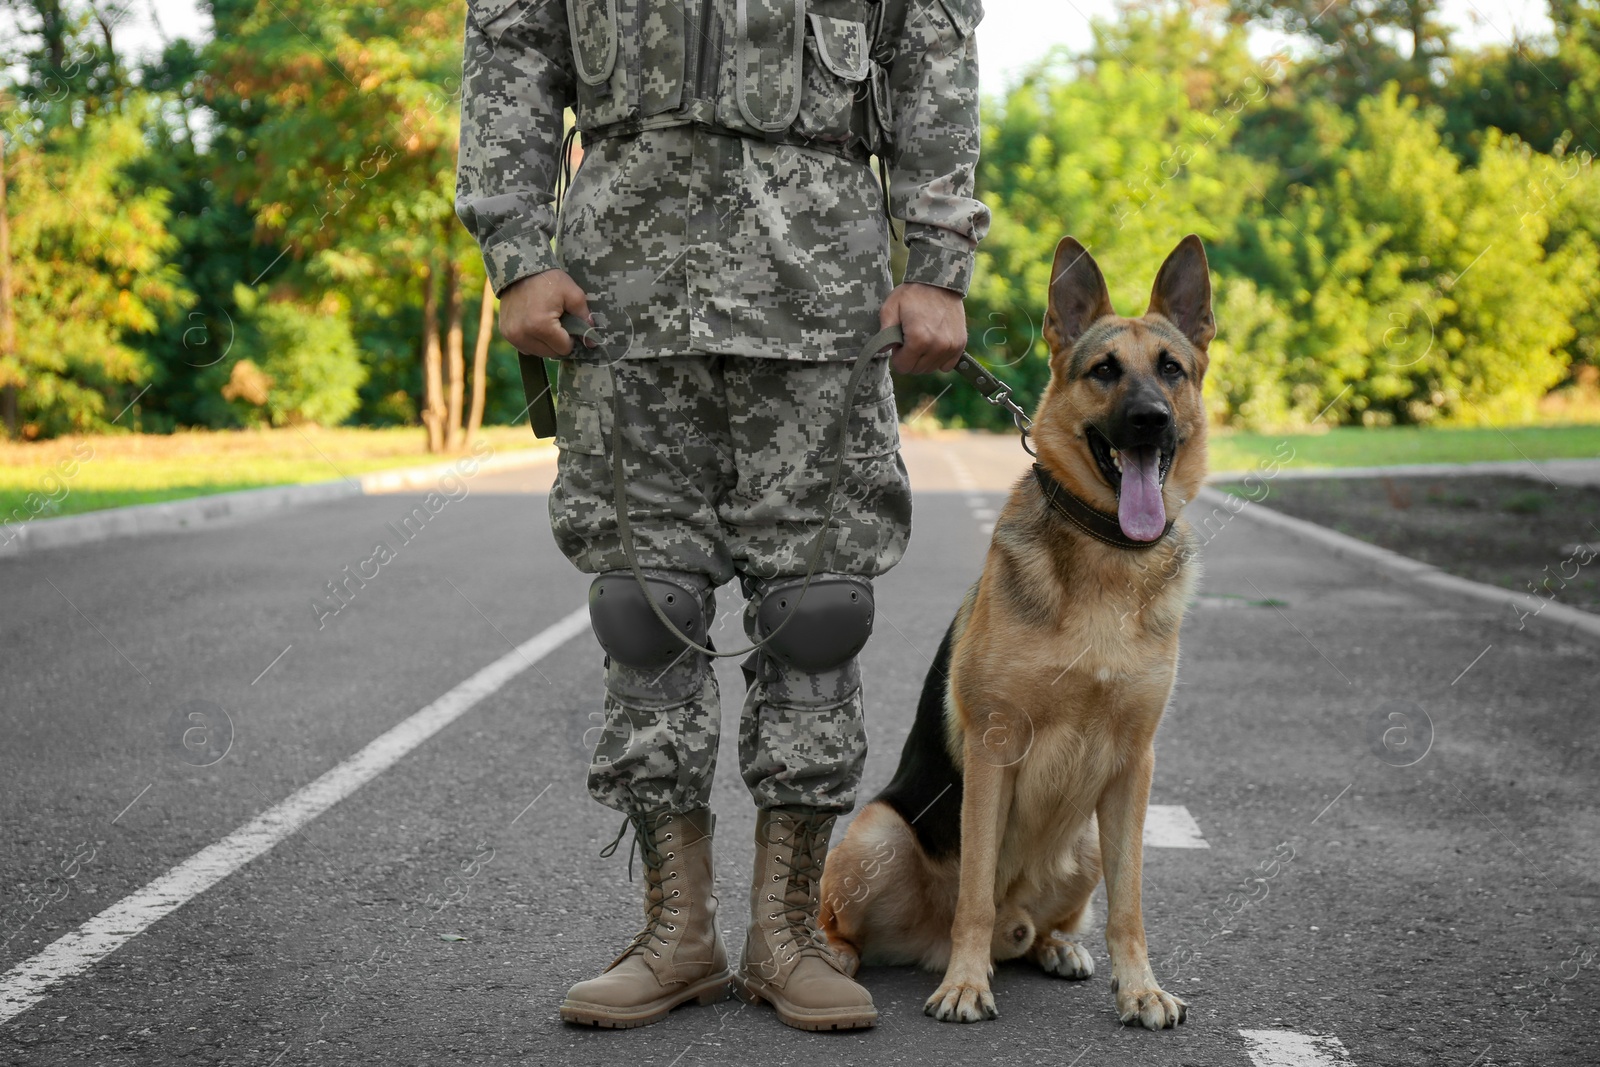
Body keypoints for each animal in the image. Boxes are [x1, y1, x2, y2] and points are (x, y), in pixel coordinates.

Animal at [825, 239, 1209, 1023]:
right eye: (1104, 371)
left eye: (1171, 369)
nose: (1151, 419)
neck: (1106, 559)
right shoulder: (993, 748)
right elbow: (973, 889)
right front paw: (966, 985)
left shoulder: (1134, 765)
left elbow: (1130, 903)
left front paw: (1141, 987)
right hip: (877, 834)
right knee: (847, 917)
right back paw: (844, 960)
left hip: (1086, 842)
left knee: (1048, 923)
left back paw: (1054, 947)